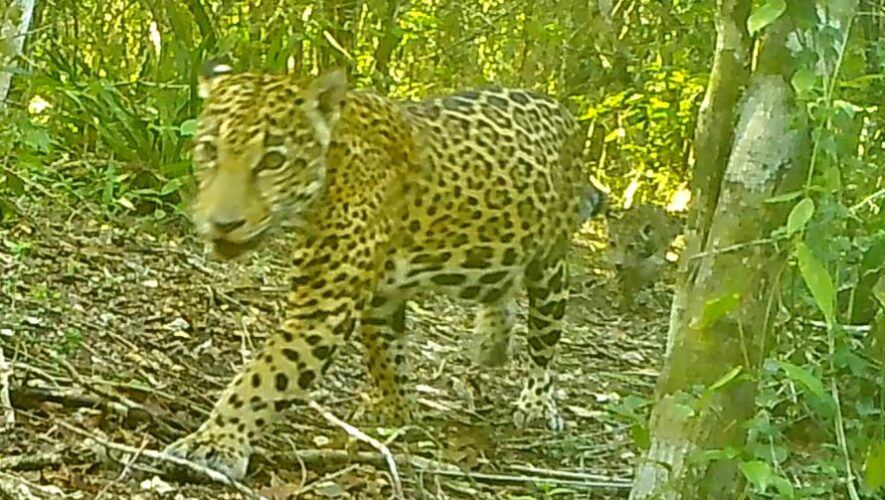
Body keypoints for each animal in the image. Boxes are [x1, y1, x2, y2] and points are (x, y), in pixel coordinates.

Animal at [163, 62, 606, 480]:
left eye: (273, 160)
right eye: (209, 150)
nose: (222, 224)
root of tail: (563, 112)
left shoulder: (324, 308)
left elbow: (263, 377)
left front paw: (214, 443)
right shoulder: (380, 296)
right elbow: (385, 355)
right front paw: (396, 409)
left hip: (550, 267)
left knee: (544, 342)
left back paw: (538, 402)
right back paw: (492, 342)